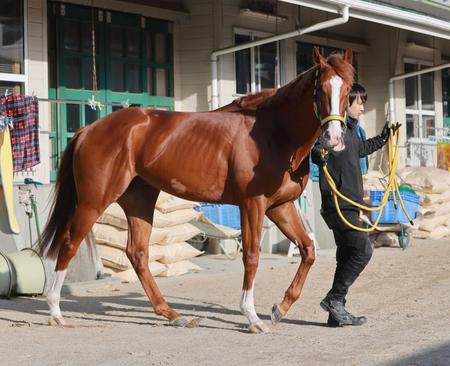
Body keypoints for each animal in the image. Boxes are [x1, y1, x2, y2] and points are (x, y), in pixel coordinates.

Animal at [38, 48, 354, 332]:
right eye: (321, 89)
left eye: (349, 89)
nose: (334, 138)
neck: (273, 132)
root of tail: (88, 130)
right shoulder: (252, 204)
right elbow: (252, 255)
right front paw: (252, 317)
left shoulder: (280, 207)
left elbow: (308, 250)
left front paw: (280, 309)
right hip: (94, 201)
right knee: (69, 243)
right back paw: (55, 311)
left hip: (140, 201)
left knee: (137, 254)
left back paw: (173, 315)